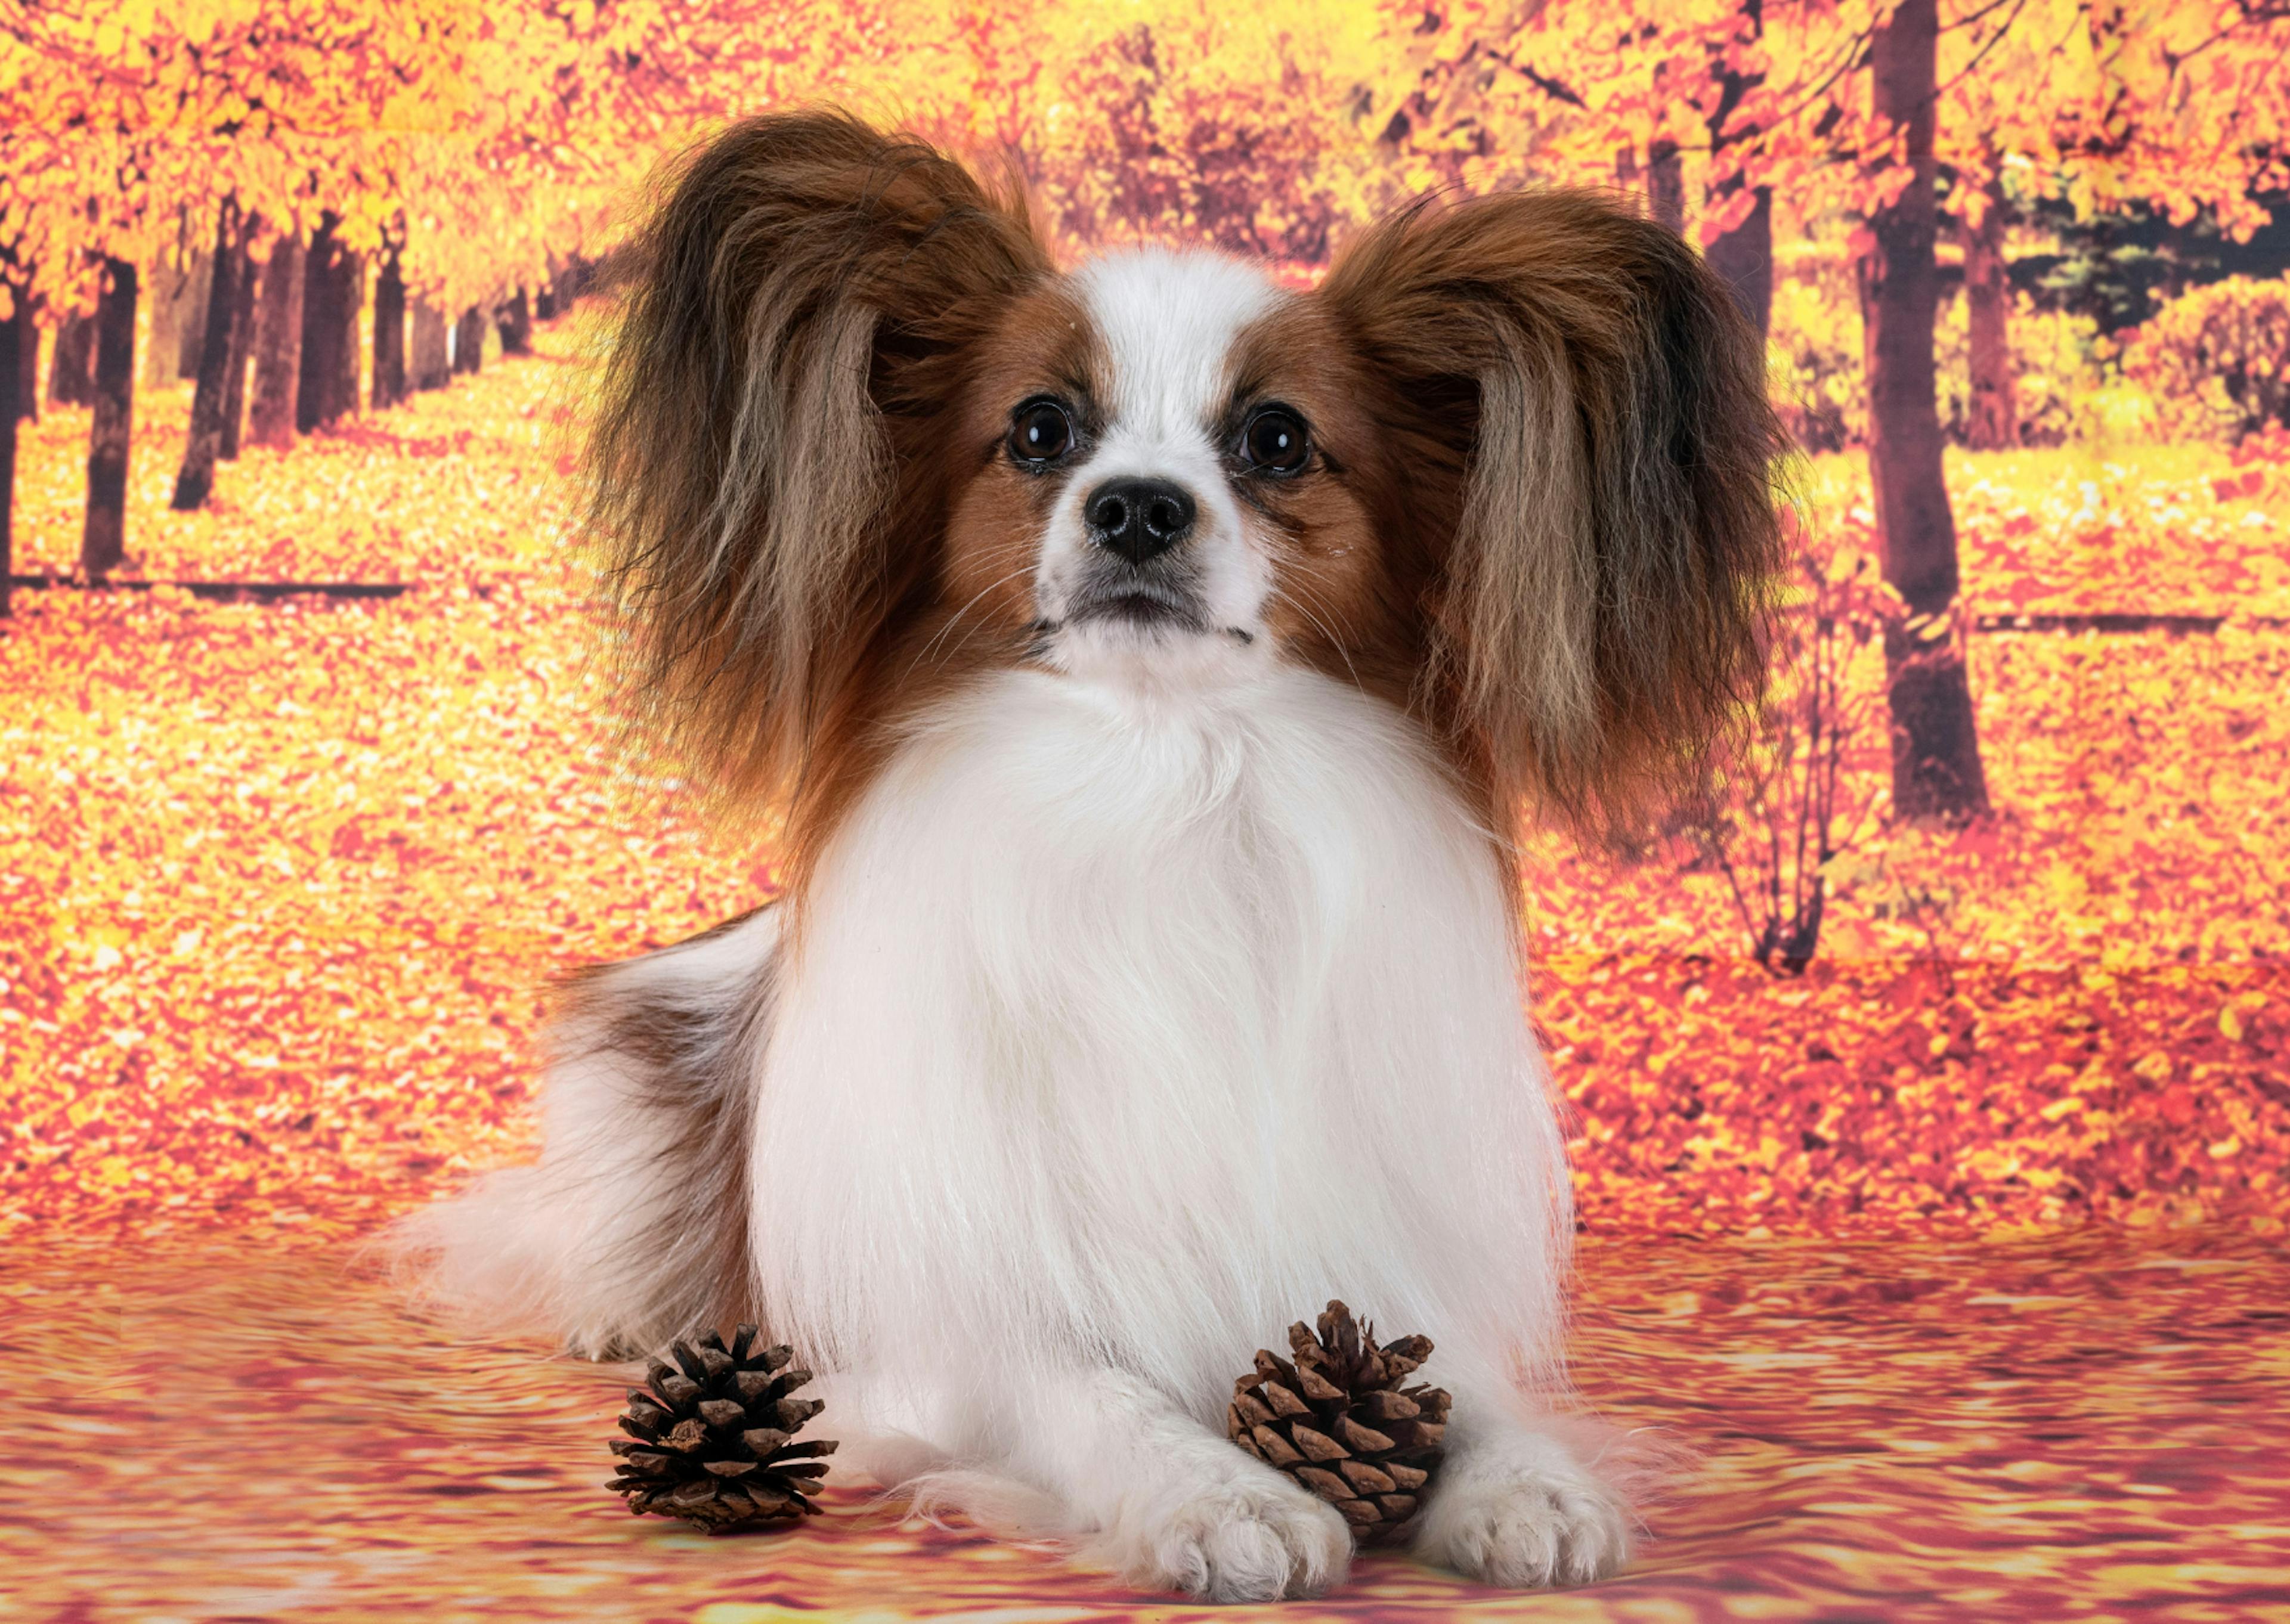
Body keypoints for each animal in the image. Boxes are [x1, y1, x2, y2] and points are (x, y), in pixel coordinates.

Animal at [412, 111, 1777, 1594]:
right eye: (1039, 430)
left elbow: (1464, 1392)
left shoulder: (1370, 1256)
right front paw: (1223, 1497)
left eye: (1278, 439)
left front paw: (1527, 1483)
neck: (1158, 783)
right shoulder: (958, 1326)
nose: (1135, 507)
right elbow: (1091, 1390)